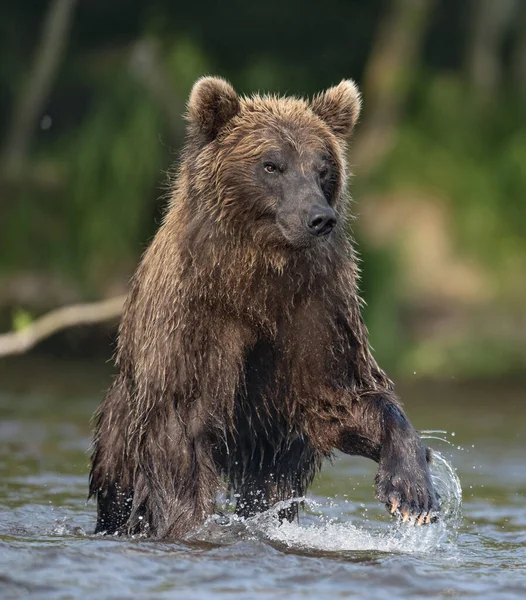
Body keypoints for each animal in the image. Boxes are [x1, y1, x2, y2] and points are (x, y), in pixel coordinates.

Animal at [89, 75, 442, 540]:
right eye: (271, 165)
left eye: (323, 167)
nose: (319, 217)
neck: (259, 277)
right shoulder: (195, 321)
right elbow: (181, 433)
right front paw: (186, 522)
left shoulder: (315, 312)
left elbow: (344, 398)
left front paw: (413, 492)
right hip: (118, 430)